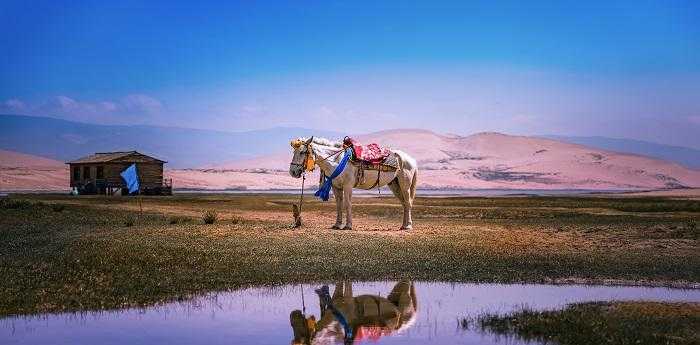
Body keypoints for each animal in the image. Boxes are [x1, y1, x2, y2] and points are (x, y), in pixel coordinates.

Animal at [288, 136, 416, 230]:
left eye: (302, 152)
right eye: (294, 151)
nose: (293, 172)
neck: (336, 160)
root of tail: (412, 160)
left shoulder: (347, 186)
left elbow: (348, 204)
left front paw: (348, 225)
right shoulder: (336, 187)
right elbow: (339, 205)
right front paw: (337, 224)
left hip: (405, 185)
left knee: (408, 203)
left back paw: (408, 226)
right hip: (394, 185)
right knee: (404, 203)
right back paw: (403, 225)